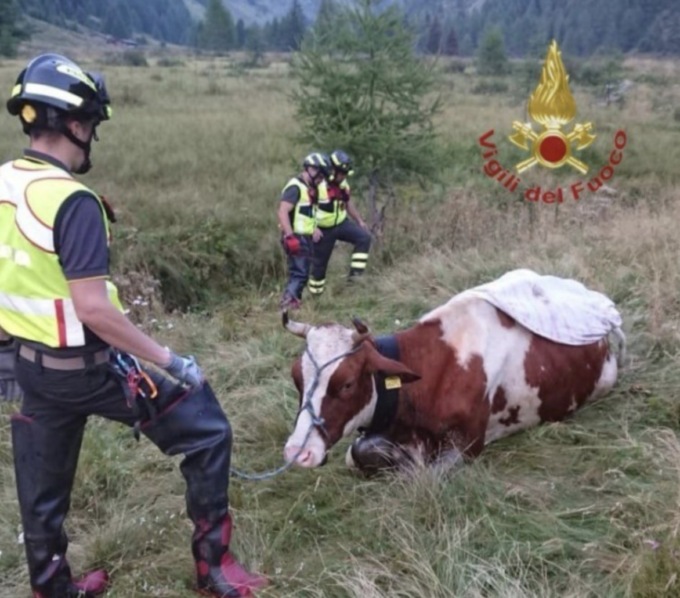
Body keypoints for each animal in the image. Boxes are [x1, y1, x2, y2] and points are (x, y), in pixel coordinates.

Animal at [281, 290, 625, 474]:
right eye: (297, 378)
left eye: (348, 384)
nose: (298, 452)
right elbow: (356, 453)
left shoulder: (468, 443)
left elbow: (425, 474)